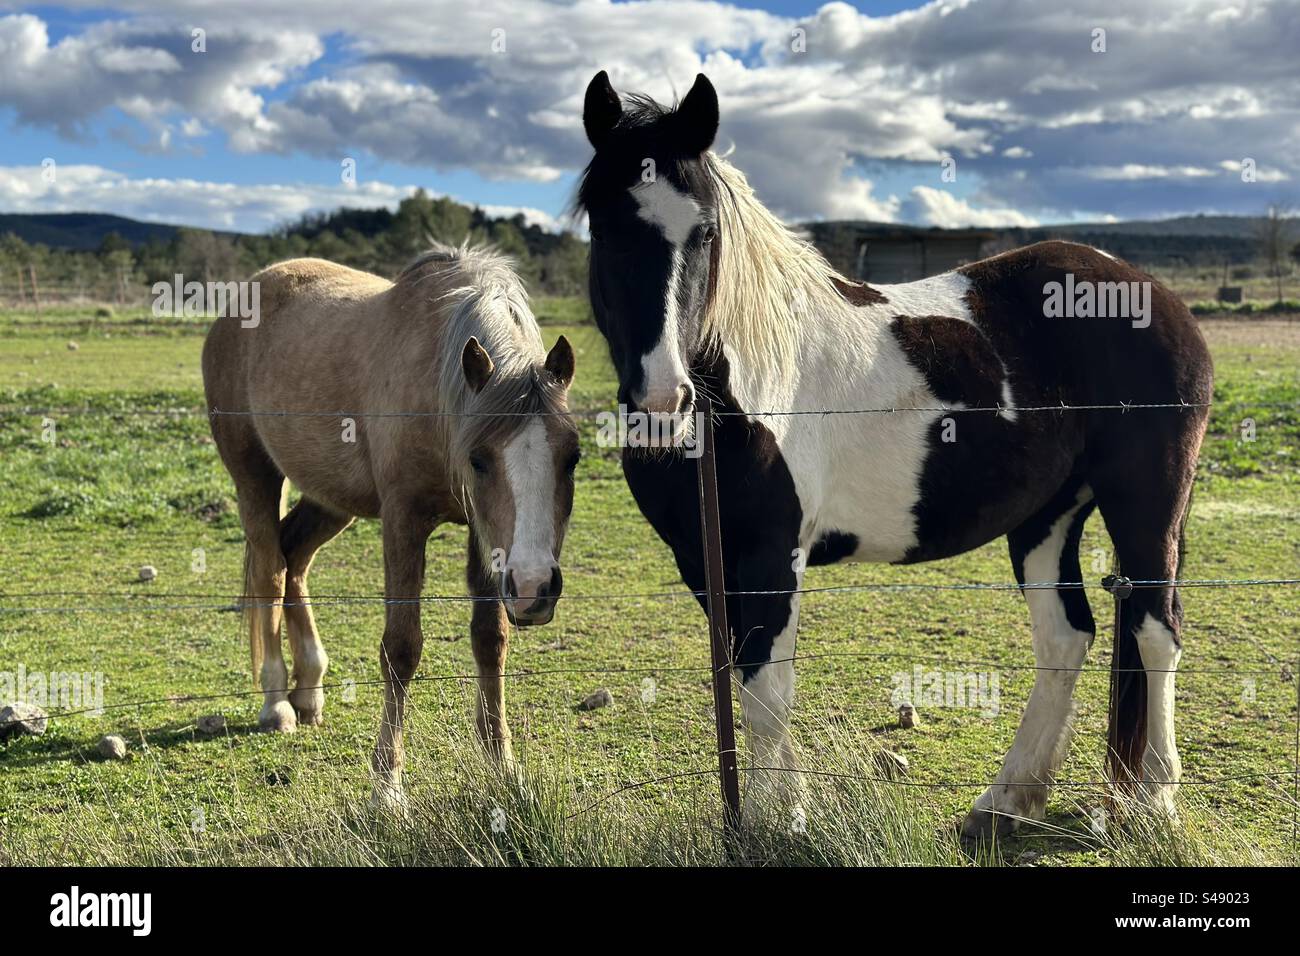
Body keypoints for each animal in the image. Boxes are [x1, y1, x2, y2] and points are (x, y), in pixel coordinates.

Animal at [202, 244, 579, 807]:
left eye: (572, 457)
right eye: (479, 460)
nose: (535, 586)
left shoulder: (484, 536)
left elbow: (490, 639)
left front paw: (502, 766)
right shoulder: (403, 520)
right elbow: (401, 648)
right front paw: (387, 785)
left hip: (330, 498)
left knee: (294, 559)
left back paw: (308, 688)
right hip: (255, 477)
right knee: (270, 571)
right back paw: (276, 702)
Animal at [577, 71, 1213, 839]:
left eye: (705, 233)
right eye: (604, 227)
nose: (663, 400)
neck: (744, 386)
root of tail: (1150, 292)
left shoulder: (772, 558)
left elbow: (767, 691)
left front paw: (776, 820)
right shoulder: (703, 562)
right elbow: (743, 678)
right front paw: (775, 809)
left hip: (1146, 506)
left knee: (1156, 633)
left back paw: (1152, 801)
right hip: (1047, 518)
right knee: (1066, 638)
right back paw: (1006, 801)